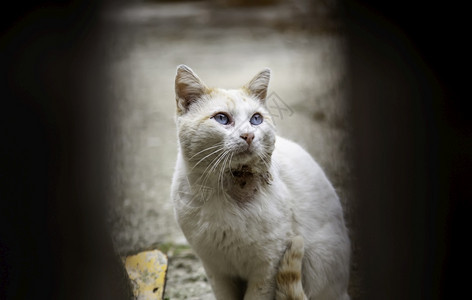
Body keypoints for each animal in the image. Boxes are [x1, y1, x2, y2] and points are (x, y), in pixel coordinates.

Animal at [171, 65, 348, 300]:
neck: (226, 189)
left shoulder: (268, 267)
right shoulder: (216, 270)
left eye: (256, 119)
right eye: (221, 118)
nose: (248, 135)